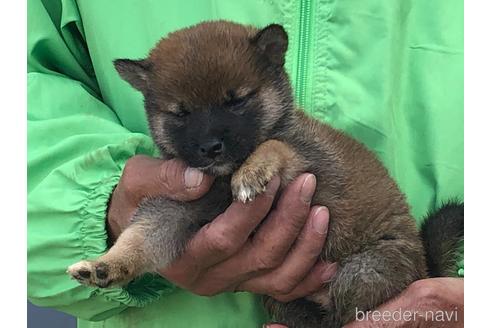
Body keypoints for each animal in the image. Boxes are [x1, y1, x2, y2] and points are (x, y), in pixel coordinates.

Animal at [67, 21, 464, 328]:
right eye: (181, 113)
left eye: (237, 101)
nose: (210, 147)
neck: (221, 180)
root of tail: (425, 269)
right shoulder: (174, 209)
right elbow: (138, 238)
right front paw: (105, 265)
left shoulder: (307, 163)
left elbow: (274, 145)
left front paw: (252, 171)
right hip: (283, 300)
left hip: (364, 271)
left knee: (343, 316)